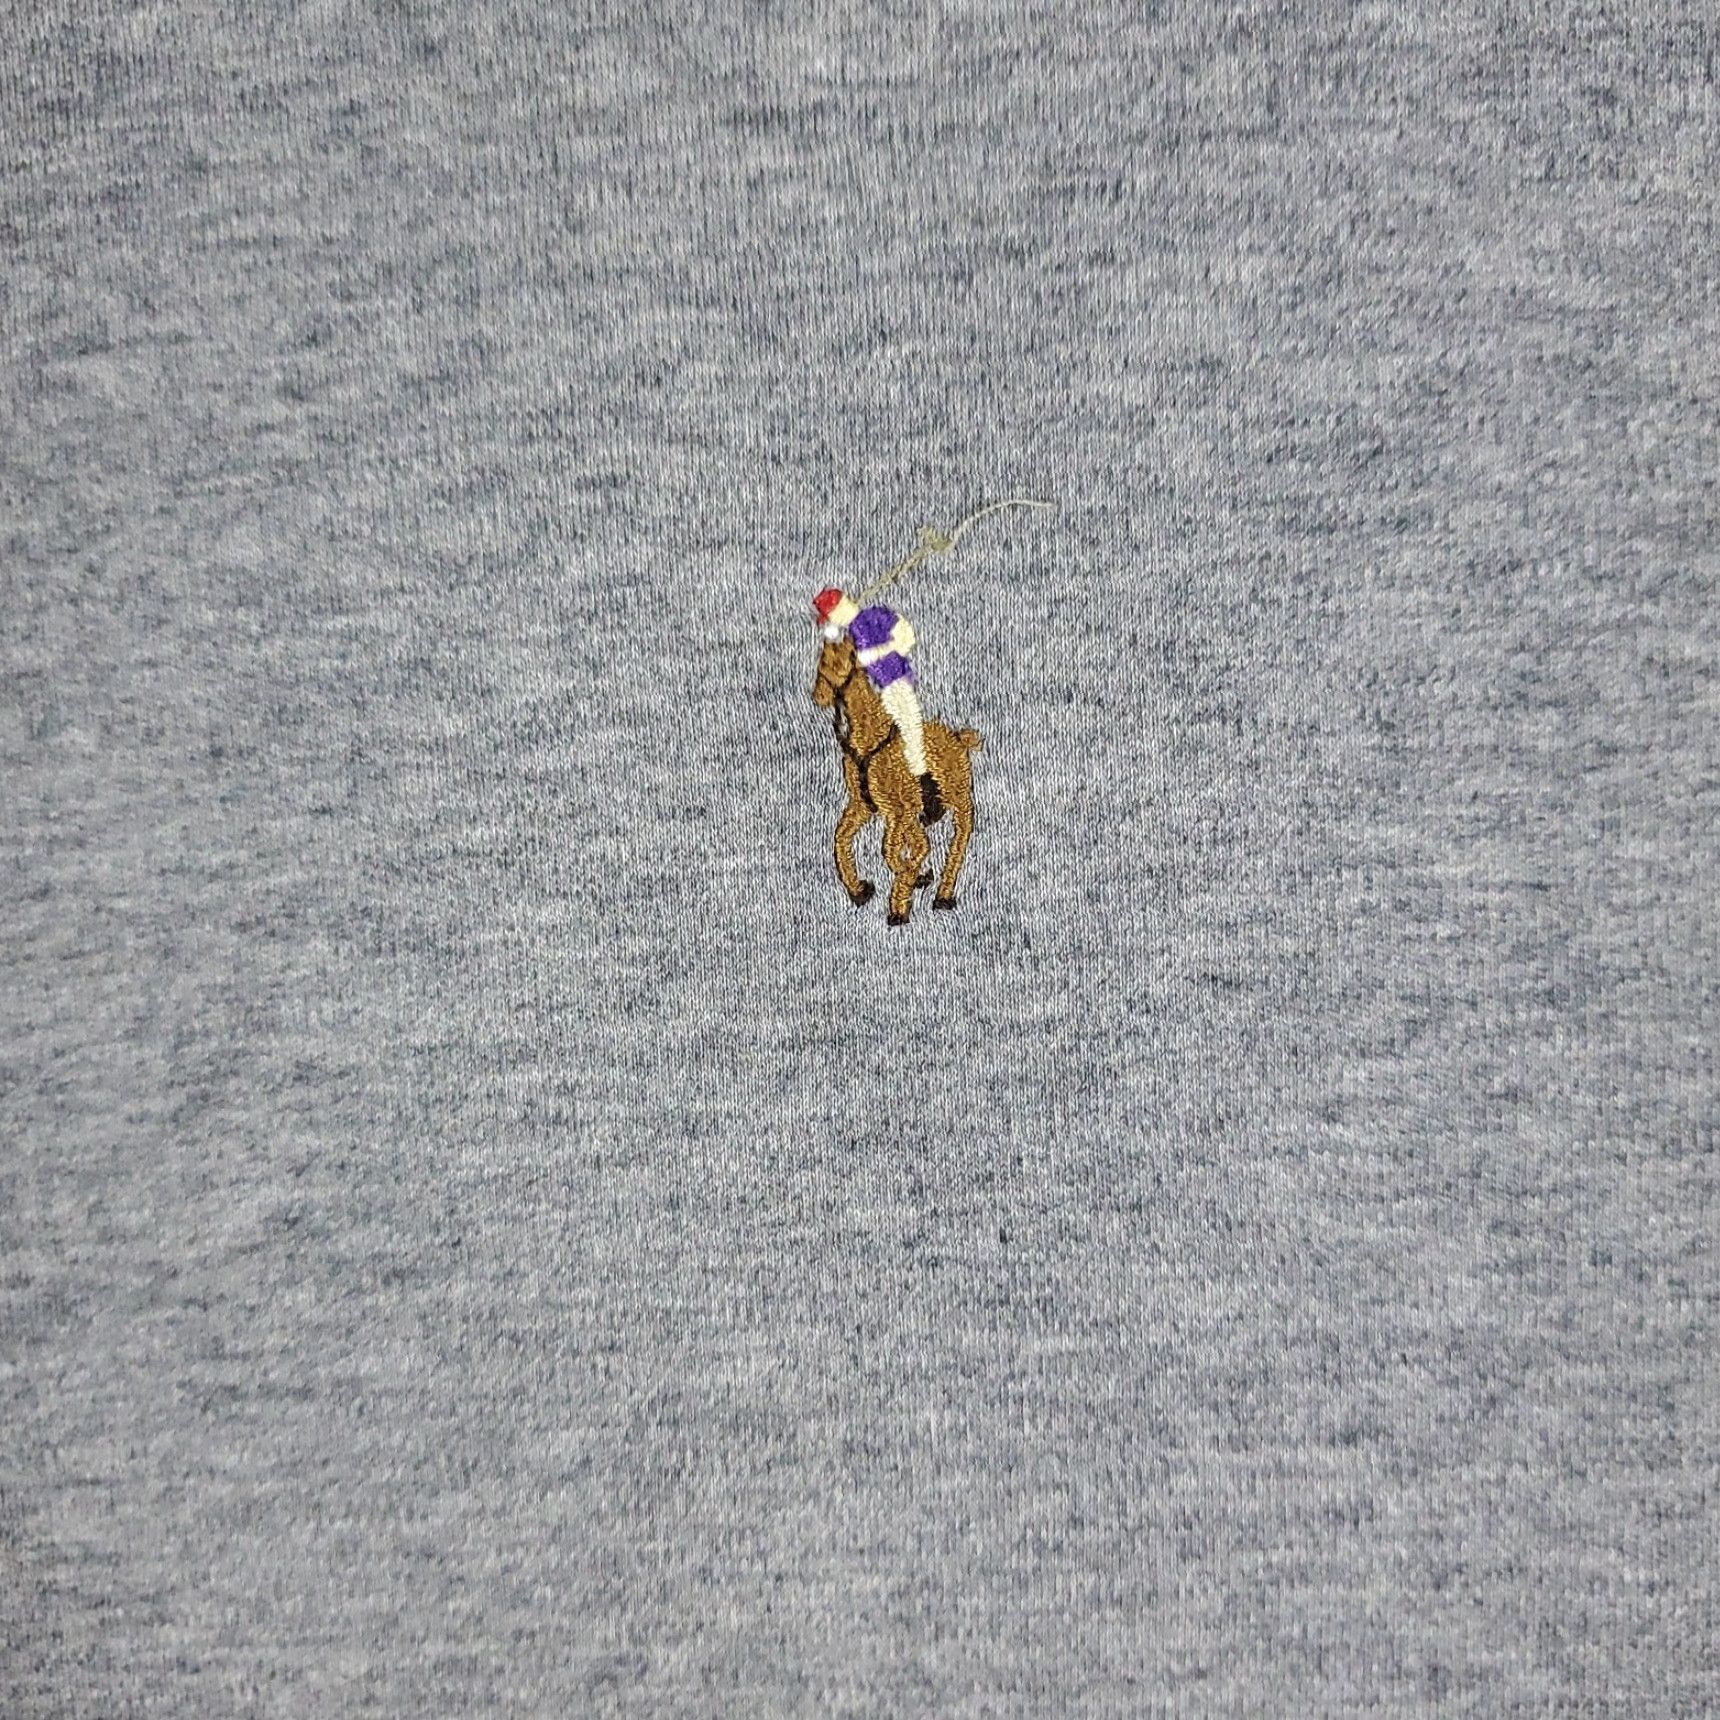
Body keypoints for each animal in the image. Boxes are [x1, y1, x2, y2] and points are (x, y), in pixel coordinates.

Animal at [810, 636, 981, 925]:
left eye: (835, 663)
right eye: (822, 660)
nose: (818, 696)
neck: (869, 738)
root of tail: (959, 737)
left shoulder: (899, 812)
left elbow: (895, 852)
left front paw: (901, 900)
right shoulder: (865, 805)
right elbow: (842, 839)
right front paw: (860, 889)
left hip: (958, 800)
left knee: (959, 839)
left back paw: (943, 894)